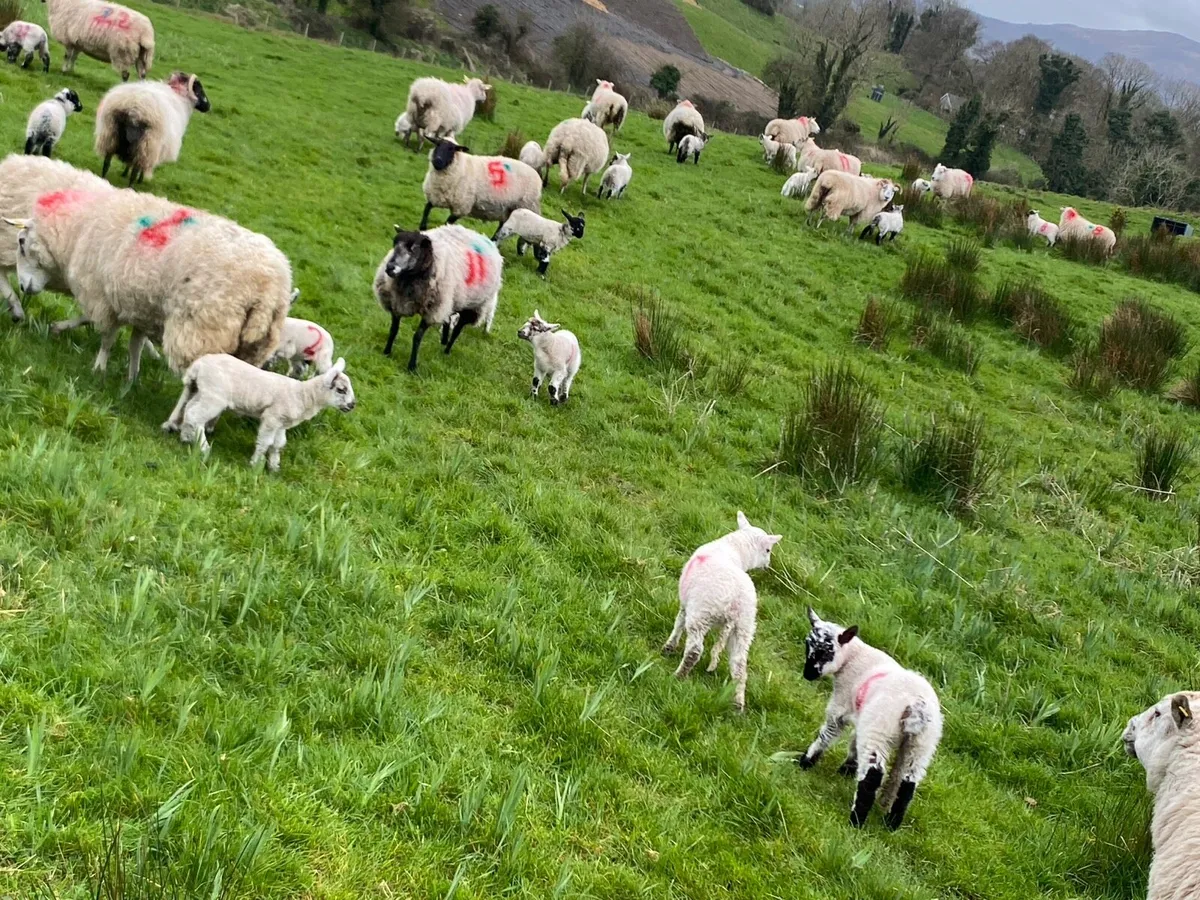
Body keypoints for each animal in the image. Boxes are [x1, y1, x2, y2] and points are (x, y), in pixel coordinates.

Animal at [6, 187, 291, 381]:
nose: (23, 288)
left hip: (203, 331)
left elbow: (106, 337)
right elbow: (133, 345)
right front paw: (131, 379)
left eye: (21, 242)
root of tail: (269, 286)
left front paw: (99, 368)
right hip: (253, 346)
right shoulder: (140, 306)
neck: (78, 230)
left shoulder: (102, 296)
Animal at [162, 354, 355, 471]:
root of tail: (198, 365)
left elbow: (278, 444)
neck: (303, 396)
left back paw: (186, 437)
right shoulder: (272, 418)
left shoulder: (281, 423)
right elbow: (265, 442)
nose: (353, 405)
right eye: (341, 389)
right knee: (195, 416)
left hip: (202, 391)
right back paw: (203, 447)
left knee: (189, 409)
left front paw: (274, 467)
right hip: (214, 397)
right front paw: (255, 464)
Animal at [373, 223, 503, 373]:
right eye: (394, 244)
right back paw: (444, 340)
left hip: (471, 306)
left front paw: (412, 366)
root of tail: (484, 237)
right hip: (452, 301)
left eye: (413, 249)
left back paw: (447, 350)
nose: (390, 267)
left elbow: (417, 337)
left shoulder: (432, 311)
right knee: (448, 319)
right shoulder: (396, 303)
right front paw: (387, 352)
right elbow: (393, 330)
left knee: (457, 330)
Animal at [661, 511, 782, 713]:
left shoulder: (687, 604)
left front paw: (669, 646)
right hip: (744, 627)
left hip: (702, 612)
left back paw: (679, 675)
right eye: (768, 550)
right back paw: (738, 704)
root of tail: (734, 603)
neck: (733, 549)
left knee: (695, 650)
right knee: (739, 666)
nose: (768, 565)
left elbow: (678, 622)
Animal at [798, 607, 943, 830]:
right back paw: (891, 824)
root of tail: (916, 705)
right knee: (908, 782)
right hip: (922, 743)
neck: (854, 658)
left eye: (826, 652)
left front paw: (806, 760)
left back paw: (856, 820)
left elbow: (827, 734)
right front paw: (848, 768)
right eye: (808, 645)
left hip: (880, 727)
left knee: (873, 775)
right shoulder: (862, 716)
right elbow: (854, 742)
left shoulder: (840, 706)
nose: (808, 675)